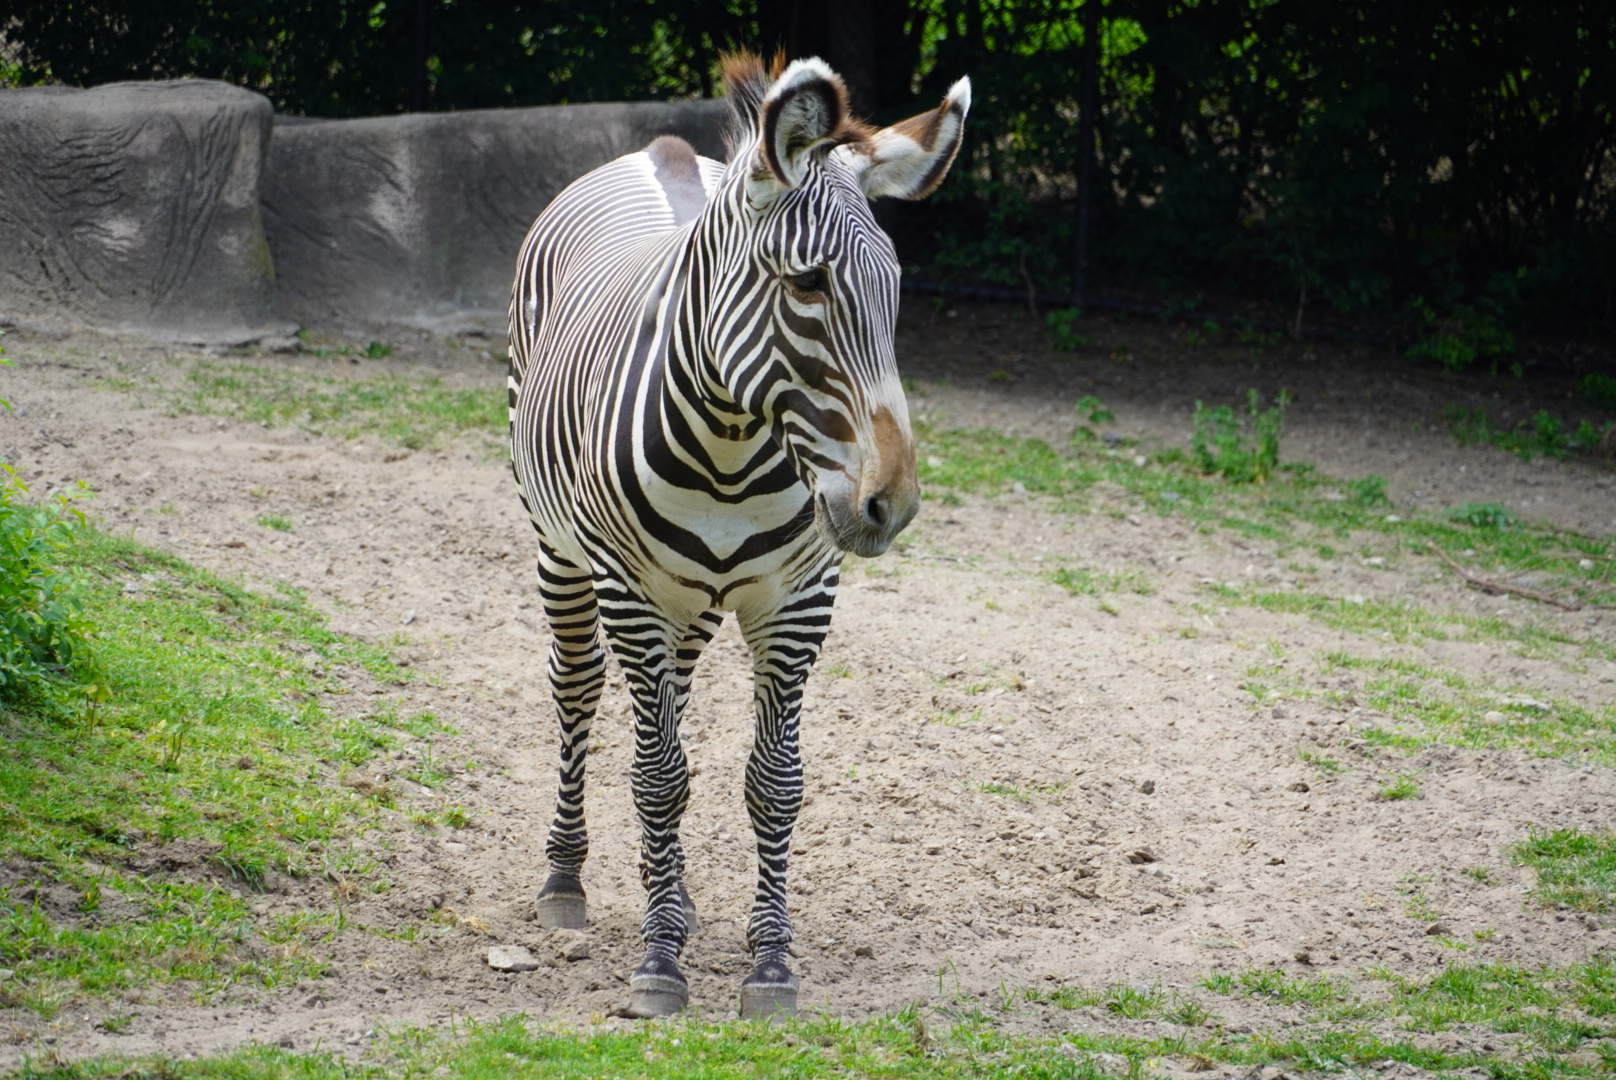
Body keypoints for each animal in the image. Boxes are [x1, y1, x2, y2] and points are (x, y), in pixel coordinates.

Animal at [507, 51, 970, 1020]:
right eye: (807, 284)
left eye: (896, 292)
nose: (892, 504)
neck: (730, 448)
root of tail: (664, 152)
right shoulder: (629, 590)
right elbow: (658, 777)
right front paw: (658, 964)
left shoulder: (798, 601)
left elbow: (772, 783)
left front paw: (770, 962)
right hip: (565, 552)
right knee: (579, 691)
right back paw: (567, 879)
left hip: (690, 602)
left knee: (671, 707)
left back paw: (675, 896)